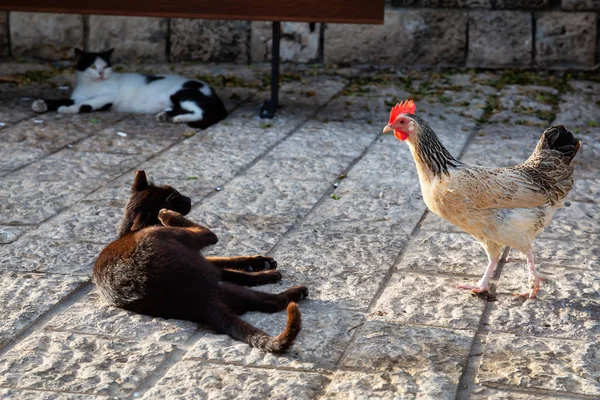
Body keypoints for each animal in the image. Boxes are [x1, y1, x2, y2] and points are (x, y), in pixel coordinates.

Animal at [31, 47, 227, 130]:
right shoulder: (77, 96)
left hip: (183, 94)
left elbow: (84, 105)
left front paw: (67, 109)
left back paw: (178, 118)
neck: (90, 86)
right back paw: (167, 115)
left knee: (200, 112)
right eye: (93, 66)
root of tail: (215, 94)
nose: (101, 73)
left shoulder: (107, 98)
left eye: (106, 66)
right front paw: (41, 104)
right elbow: (64, 100)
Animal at [95, 170, 310, 352]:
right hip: (214, 277)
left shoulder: (203, 256)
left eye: (174, 190)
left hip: (225, 290)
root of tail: (200, 300)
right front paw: (267, 272)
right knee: (273, 301)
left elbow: (228, 262)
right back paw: (298, 291)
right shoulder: (197, 243)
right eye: (174, 196)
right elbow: (229, 263)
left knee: (263, 302)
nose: (188, 199)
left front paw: (259, 262)